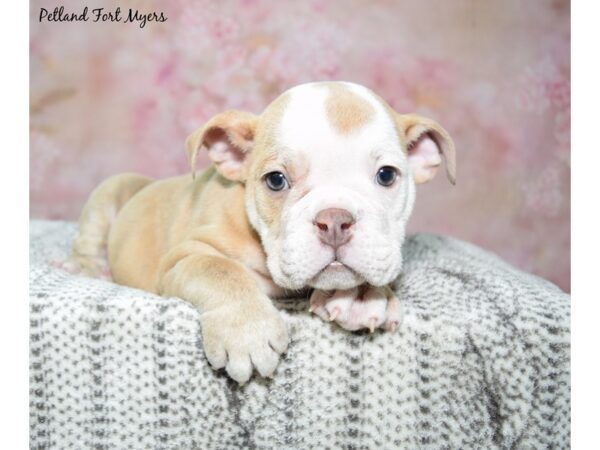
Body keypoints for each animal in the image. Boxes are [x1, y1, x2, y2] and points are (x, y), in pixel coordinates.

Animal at [62, 81, 454, 384]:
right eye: (276, 180)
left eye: (387, 175)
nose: (334, 220)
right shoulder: (185, 255)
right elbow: (220, 271)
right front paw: (247, 332)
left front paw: (362, 294)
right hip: (110, 192)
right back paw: (87, 266)